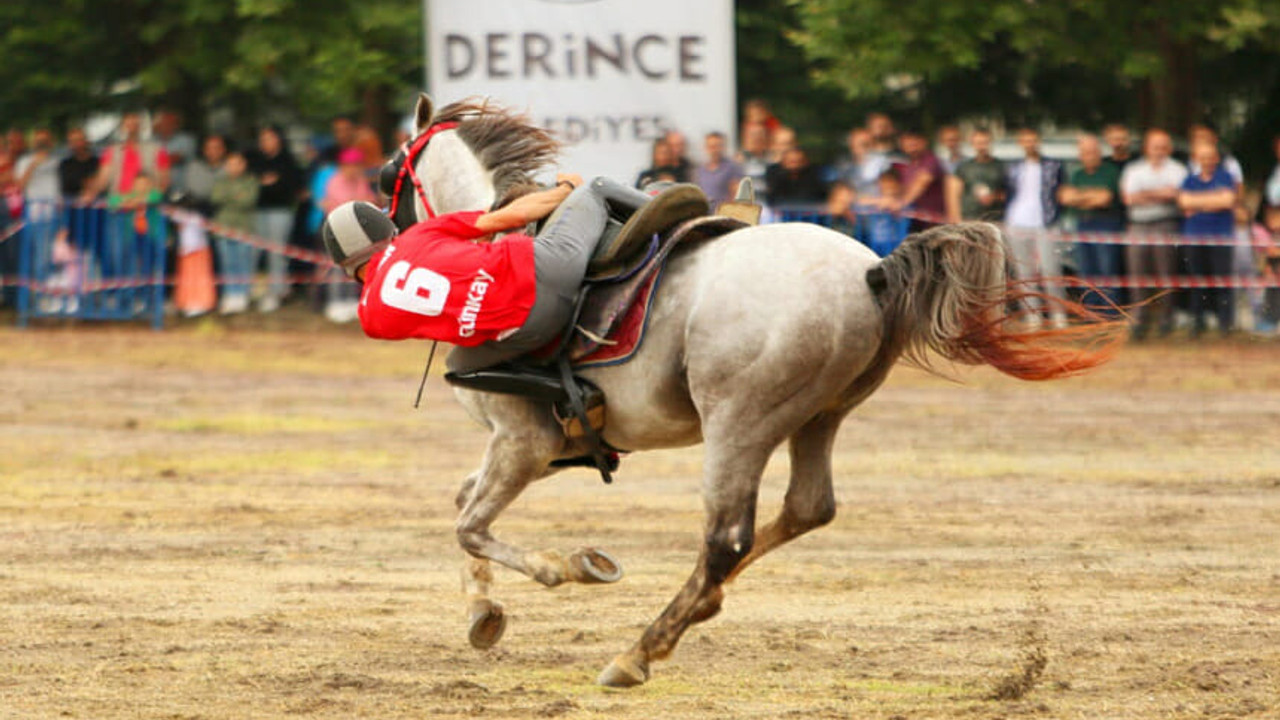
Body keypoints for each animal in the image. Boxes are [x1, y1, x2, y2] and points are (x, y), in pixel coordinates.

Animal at [394, 95, 1116, 681]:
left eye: (391, 176)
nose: (383, 235)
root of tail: (872, 273)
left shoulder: (522, 439)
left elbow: (470, 524)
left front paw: (564, 567)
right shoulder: (549, 445)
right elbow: (464, 508)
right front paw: (483, 611)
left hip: (739, 426)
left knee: (726, 538)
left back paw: (639, 652)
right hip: (819, 417)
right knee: (806, 509)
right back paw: (699, 607)